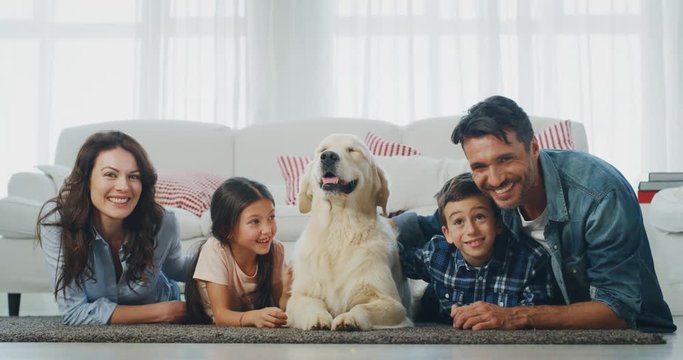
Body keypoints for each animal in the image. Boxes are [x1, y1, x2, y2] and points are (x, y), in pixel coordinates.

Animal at [284, 134, 412, 330]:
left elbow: (362, 307)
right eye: (322, 150)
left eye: (353, 150)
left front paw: (349, 318)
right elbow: (311, 303)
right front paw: (318, 318)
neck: (339, 226)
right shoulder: (299, 296)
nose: (328, 156)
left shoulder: (392, 303)